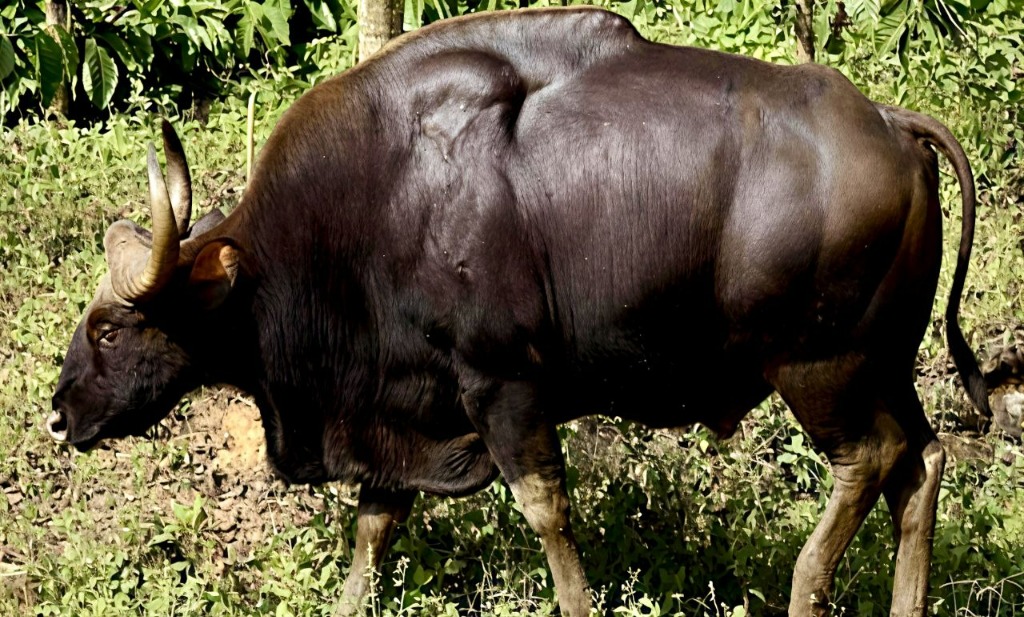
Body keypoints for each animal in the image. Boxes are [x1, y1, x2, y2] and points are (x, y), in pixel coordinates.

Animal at [50, 7, 1007, 616]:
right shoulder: (404, 402)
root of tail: (890, 121)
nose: (58, 416)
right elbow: (375, 525)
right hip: (884, 362)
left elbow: (546, 510)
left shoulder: (502, 387)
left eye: (109, 328)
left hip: (820, 367)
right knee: (921, 463)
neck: (376, 204)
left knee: (868, 459)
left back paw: (807, 589)